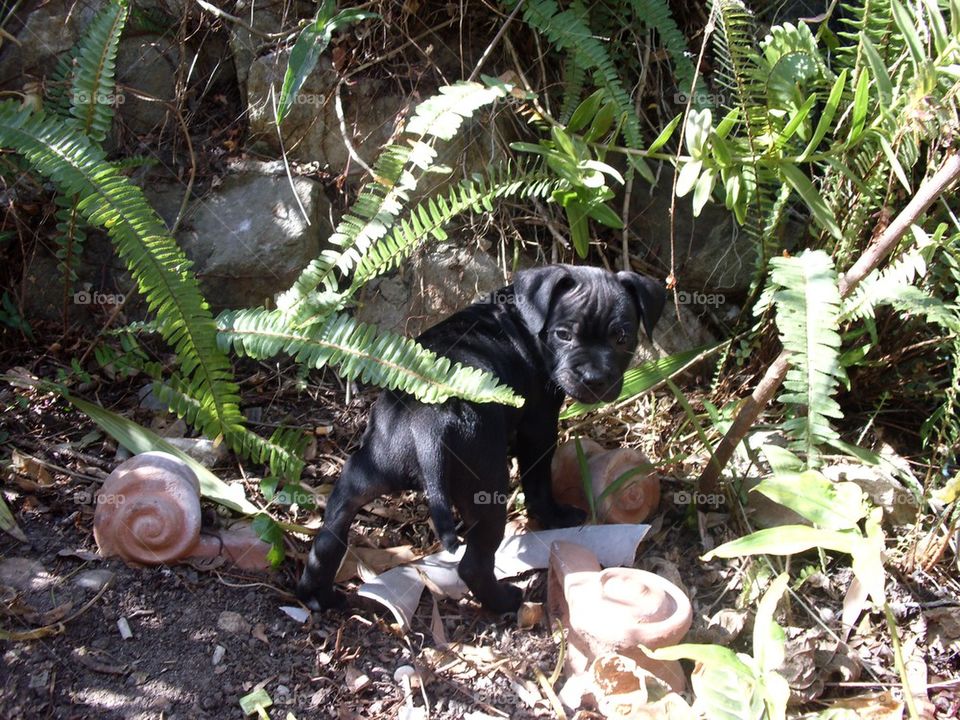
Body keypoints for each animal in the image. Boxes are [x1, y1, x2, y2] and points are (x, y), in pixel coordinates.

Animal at [296, 264, 664, 612]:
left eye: (622, 337)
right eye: (563, 335)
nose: (594, 378)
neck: (523, 315)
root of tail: (424, 421)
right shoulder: (539, 426)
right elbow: (538, 483)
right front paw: (555, 516)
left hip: (366, 471)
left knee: (330, 533)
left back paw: (318, 595)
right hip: (485, 490)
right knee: (473, 564)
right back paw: (504, 602)